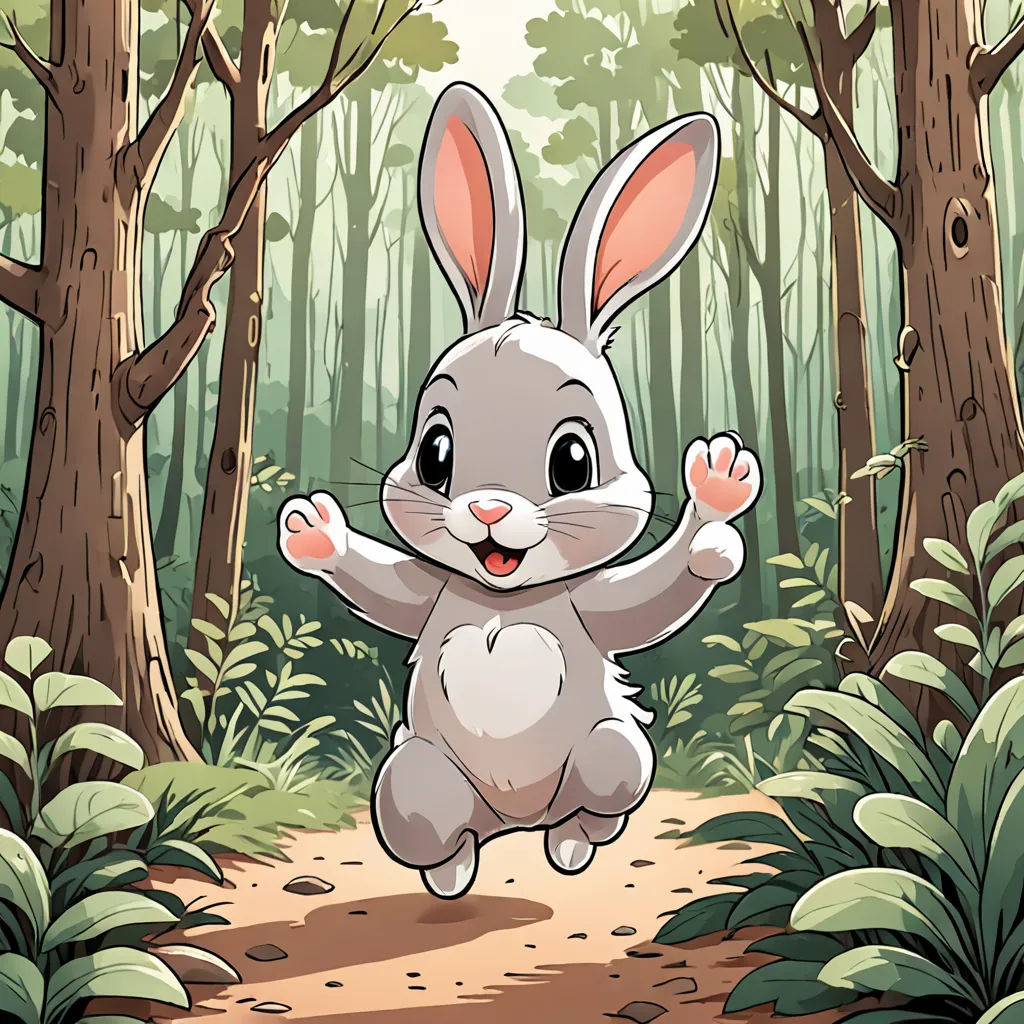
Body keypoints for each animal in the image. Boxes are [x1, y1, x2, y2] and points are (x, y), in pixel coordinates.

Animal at [279, 82, 762, 899]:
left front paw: (717, 502)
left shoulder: (586, 605)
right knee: (429, 818)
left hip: (612, 756)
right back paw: (452, 872)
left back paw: (568, 844)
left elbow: (648, 602)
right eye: (435, 453)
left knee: (604, 783)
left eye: (573, 461)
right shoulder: (436, 591)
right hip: (414, 782)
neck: (504, 603)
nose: (488, 508)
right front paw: (314, 531)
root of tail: (514, 823)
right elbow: (387, 591)